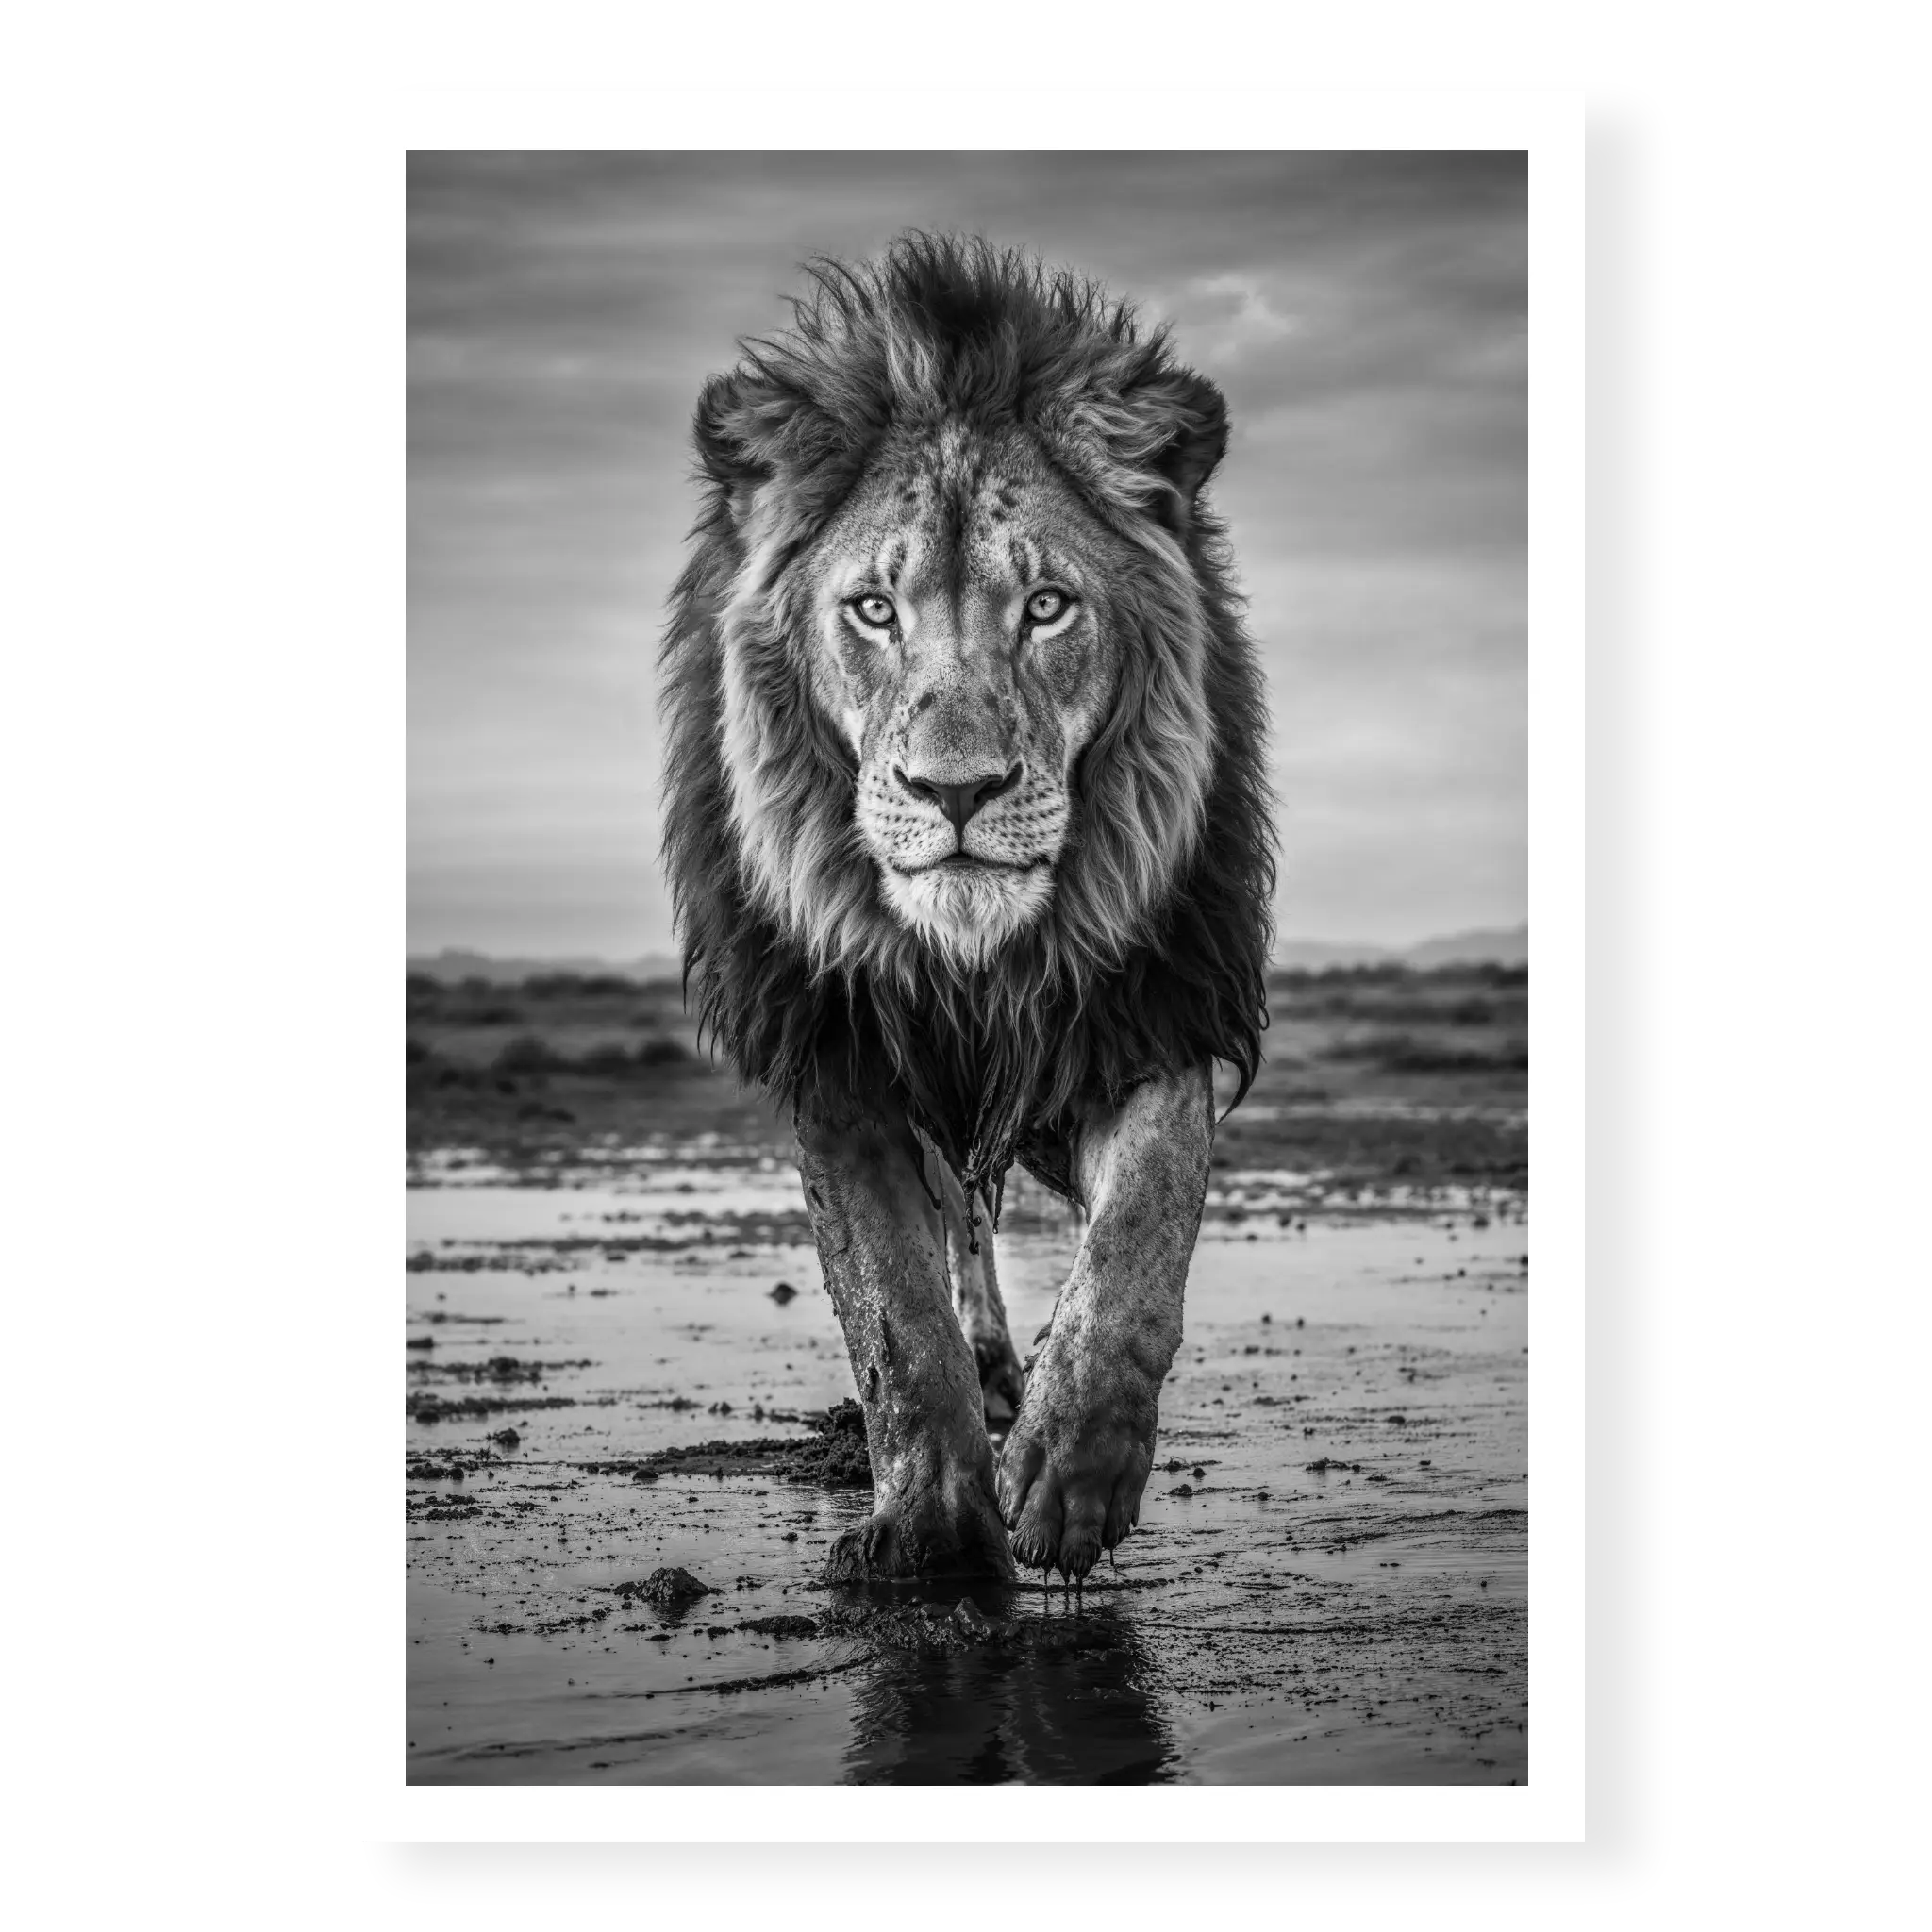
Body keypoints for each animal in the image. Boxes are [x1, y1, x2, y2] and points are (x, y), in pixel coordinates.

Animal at [661, 235, 1274, 1584]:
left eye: (1044, 606)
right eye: (872, 610)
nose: (955, 790)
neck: (976, 958)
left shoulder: (1143, 1008)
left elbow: (1139, 1232)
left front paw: (1071, 1469)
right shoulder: (837, 1052)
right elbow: (893, 1310)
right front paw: (936, 1531)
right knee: (957, 1238)